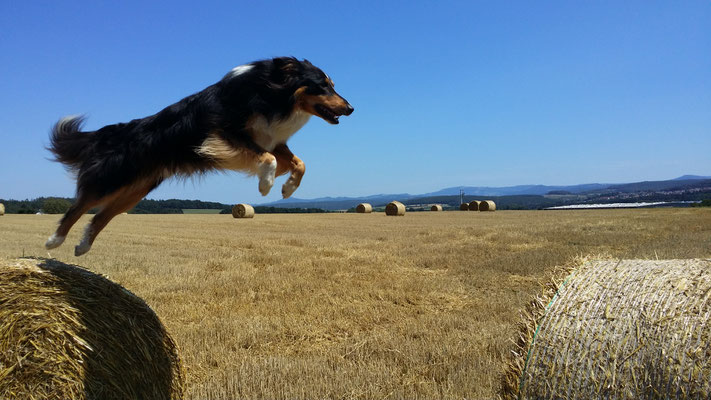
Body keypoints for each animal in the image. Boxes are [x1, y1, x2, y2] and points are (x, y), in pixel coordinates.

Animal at [47, 57, 354, 256]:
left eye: (332, 84)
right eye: (322, 85)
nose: (351, 108)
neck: (270, 92)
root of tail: (114, 131)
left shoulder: (270, 140)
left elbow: (299, 163)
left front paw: (288, 188)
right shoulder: (221, 134)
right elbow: (268, 159)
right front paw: (265, 185)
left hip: (136, 189)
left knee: (102, 215)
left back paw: (82, 246)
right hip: (113, 177)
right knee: (79, 205)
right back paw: (54, 240)